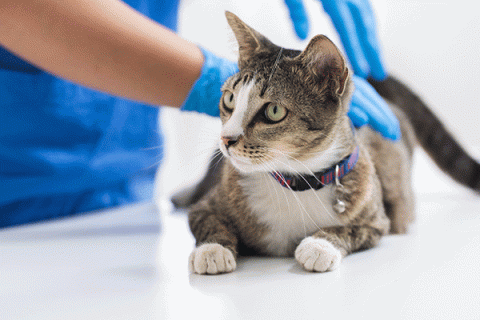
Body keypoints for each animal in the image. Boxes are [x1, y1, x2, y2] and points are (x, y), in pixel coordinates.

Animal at [182, 11, 478, 274]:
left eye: (274, 111)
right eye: (229, 99)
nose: (226, 139)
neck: (295, 182)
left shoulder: (377, 218)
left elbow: (353, 229)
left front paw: (320, 245)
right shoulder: (209, 203)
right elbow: (208, 220)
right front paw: (212, 250)